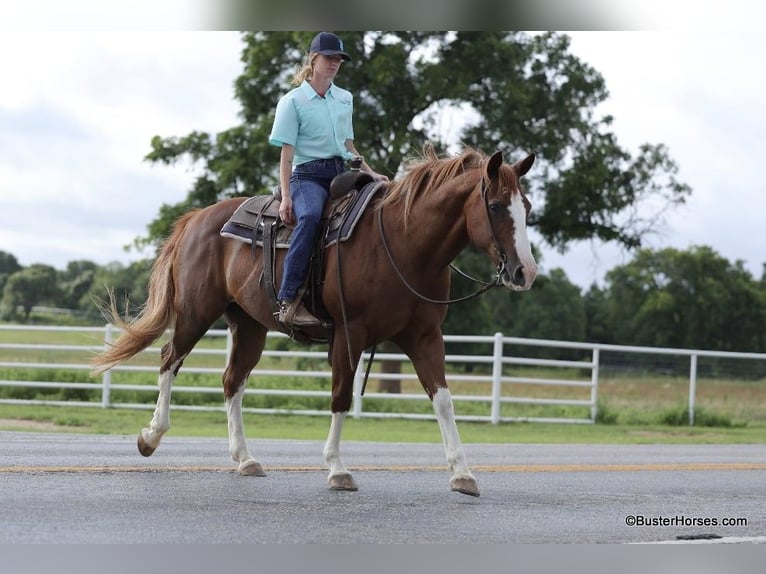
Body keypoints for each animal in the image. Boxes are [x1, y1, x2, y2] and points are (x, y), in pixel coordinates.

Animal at [90, 144, 538, 497]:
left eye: (527, 208)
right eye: (495, 206)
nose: (525, 272)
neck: (403, 241)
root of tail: (198, 218)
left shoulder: (425, 336)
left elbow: (443, 400)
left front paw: (463, 474)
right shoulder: (349, 332)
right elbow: (340, 395)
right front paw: (338, 469)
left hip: (249, 326)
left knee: (232, 382)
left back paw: (245, 459)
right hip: (195, 313)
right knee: (170, 359)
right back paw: (151, 437)